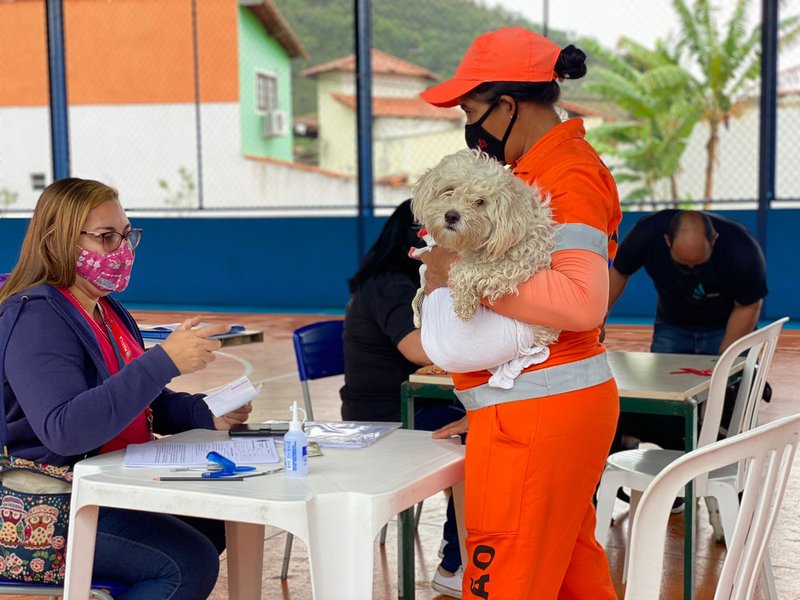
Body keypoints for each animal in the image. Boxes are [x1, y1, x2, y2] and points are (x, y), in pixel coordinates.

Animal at [412, 148, 556, 350]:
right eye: (449, 190)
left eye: (479, 201)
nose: (451, 216)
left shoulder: (520, 261)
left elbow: (467, 269)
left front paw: (463, 302)